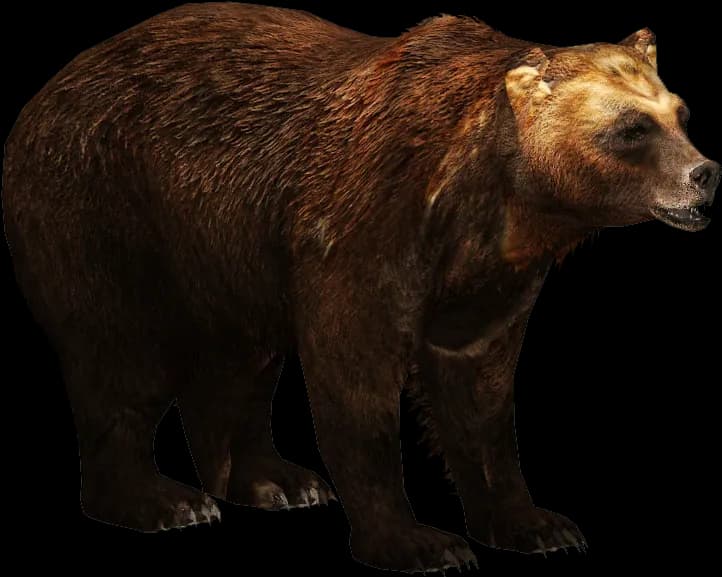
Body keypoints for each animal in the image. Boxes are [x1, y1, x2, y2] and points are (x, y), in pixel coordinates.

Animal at [2, 1, 719, 571]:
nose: (705, 175)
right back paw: (162, 500)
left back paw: (275, 481)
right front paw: (420, 543)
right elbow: (356, 378)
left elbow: (478, 391)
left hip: (226, 255)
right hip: (101, 207)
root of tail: (44, 93)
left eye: (682, 114)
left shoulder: (492, 273)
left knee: (238, 364)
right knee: (120, 354)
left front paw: (537, 523)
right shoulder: (366, 226)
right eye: (632, 128)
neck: (494, 197)